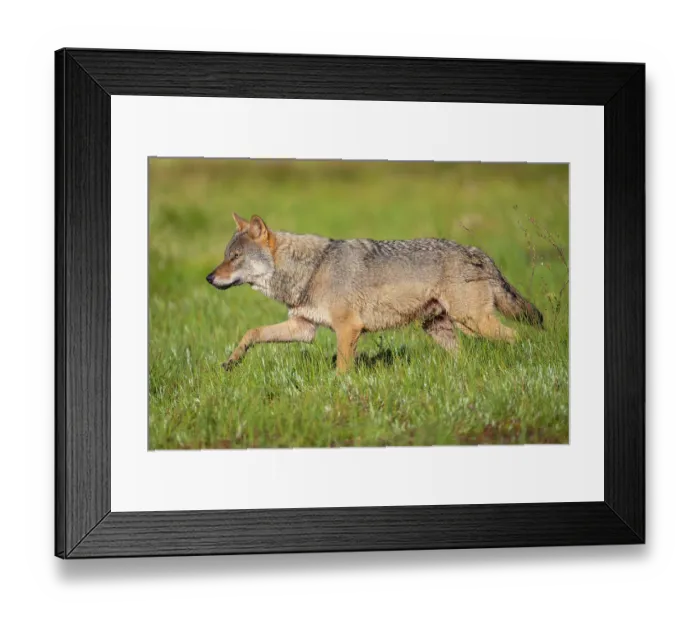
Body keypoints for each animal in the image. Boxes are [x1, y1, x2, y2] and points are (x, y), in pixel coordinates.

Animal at [206, 213, 543, 372]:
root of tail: (477, 251)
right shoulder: (303, 329)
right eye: (225, 255)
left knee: (518, 337)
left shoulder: (348, 328)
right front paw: (231, 362)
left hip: (473, 323)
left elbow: (343, 368)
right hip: (444, 328)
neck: (312, 269)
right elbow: (251, 333)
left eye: (235, 257)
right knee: (465, 357)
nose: (209, 277)